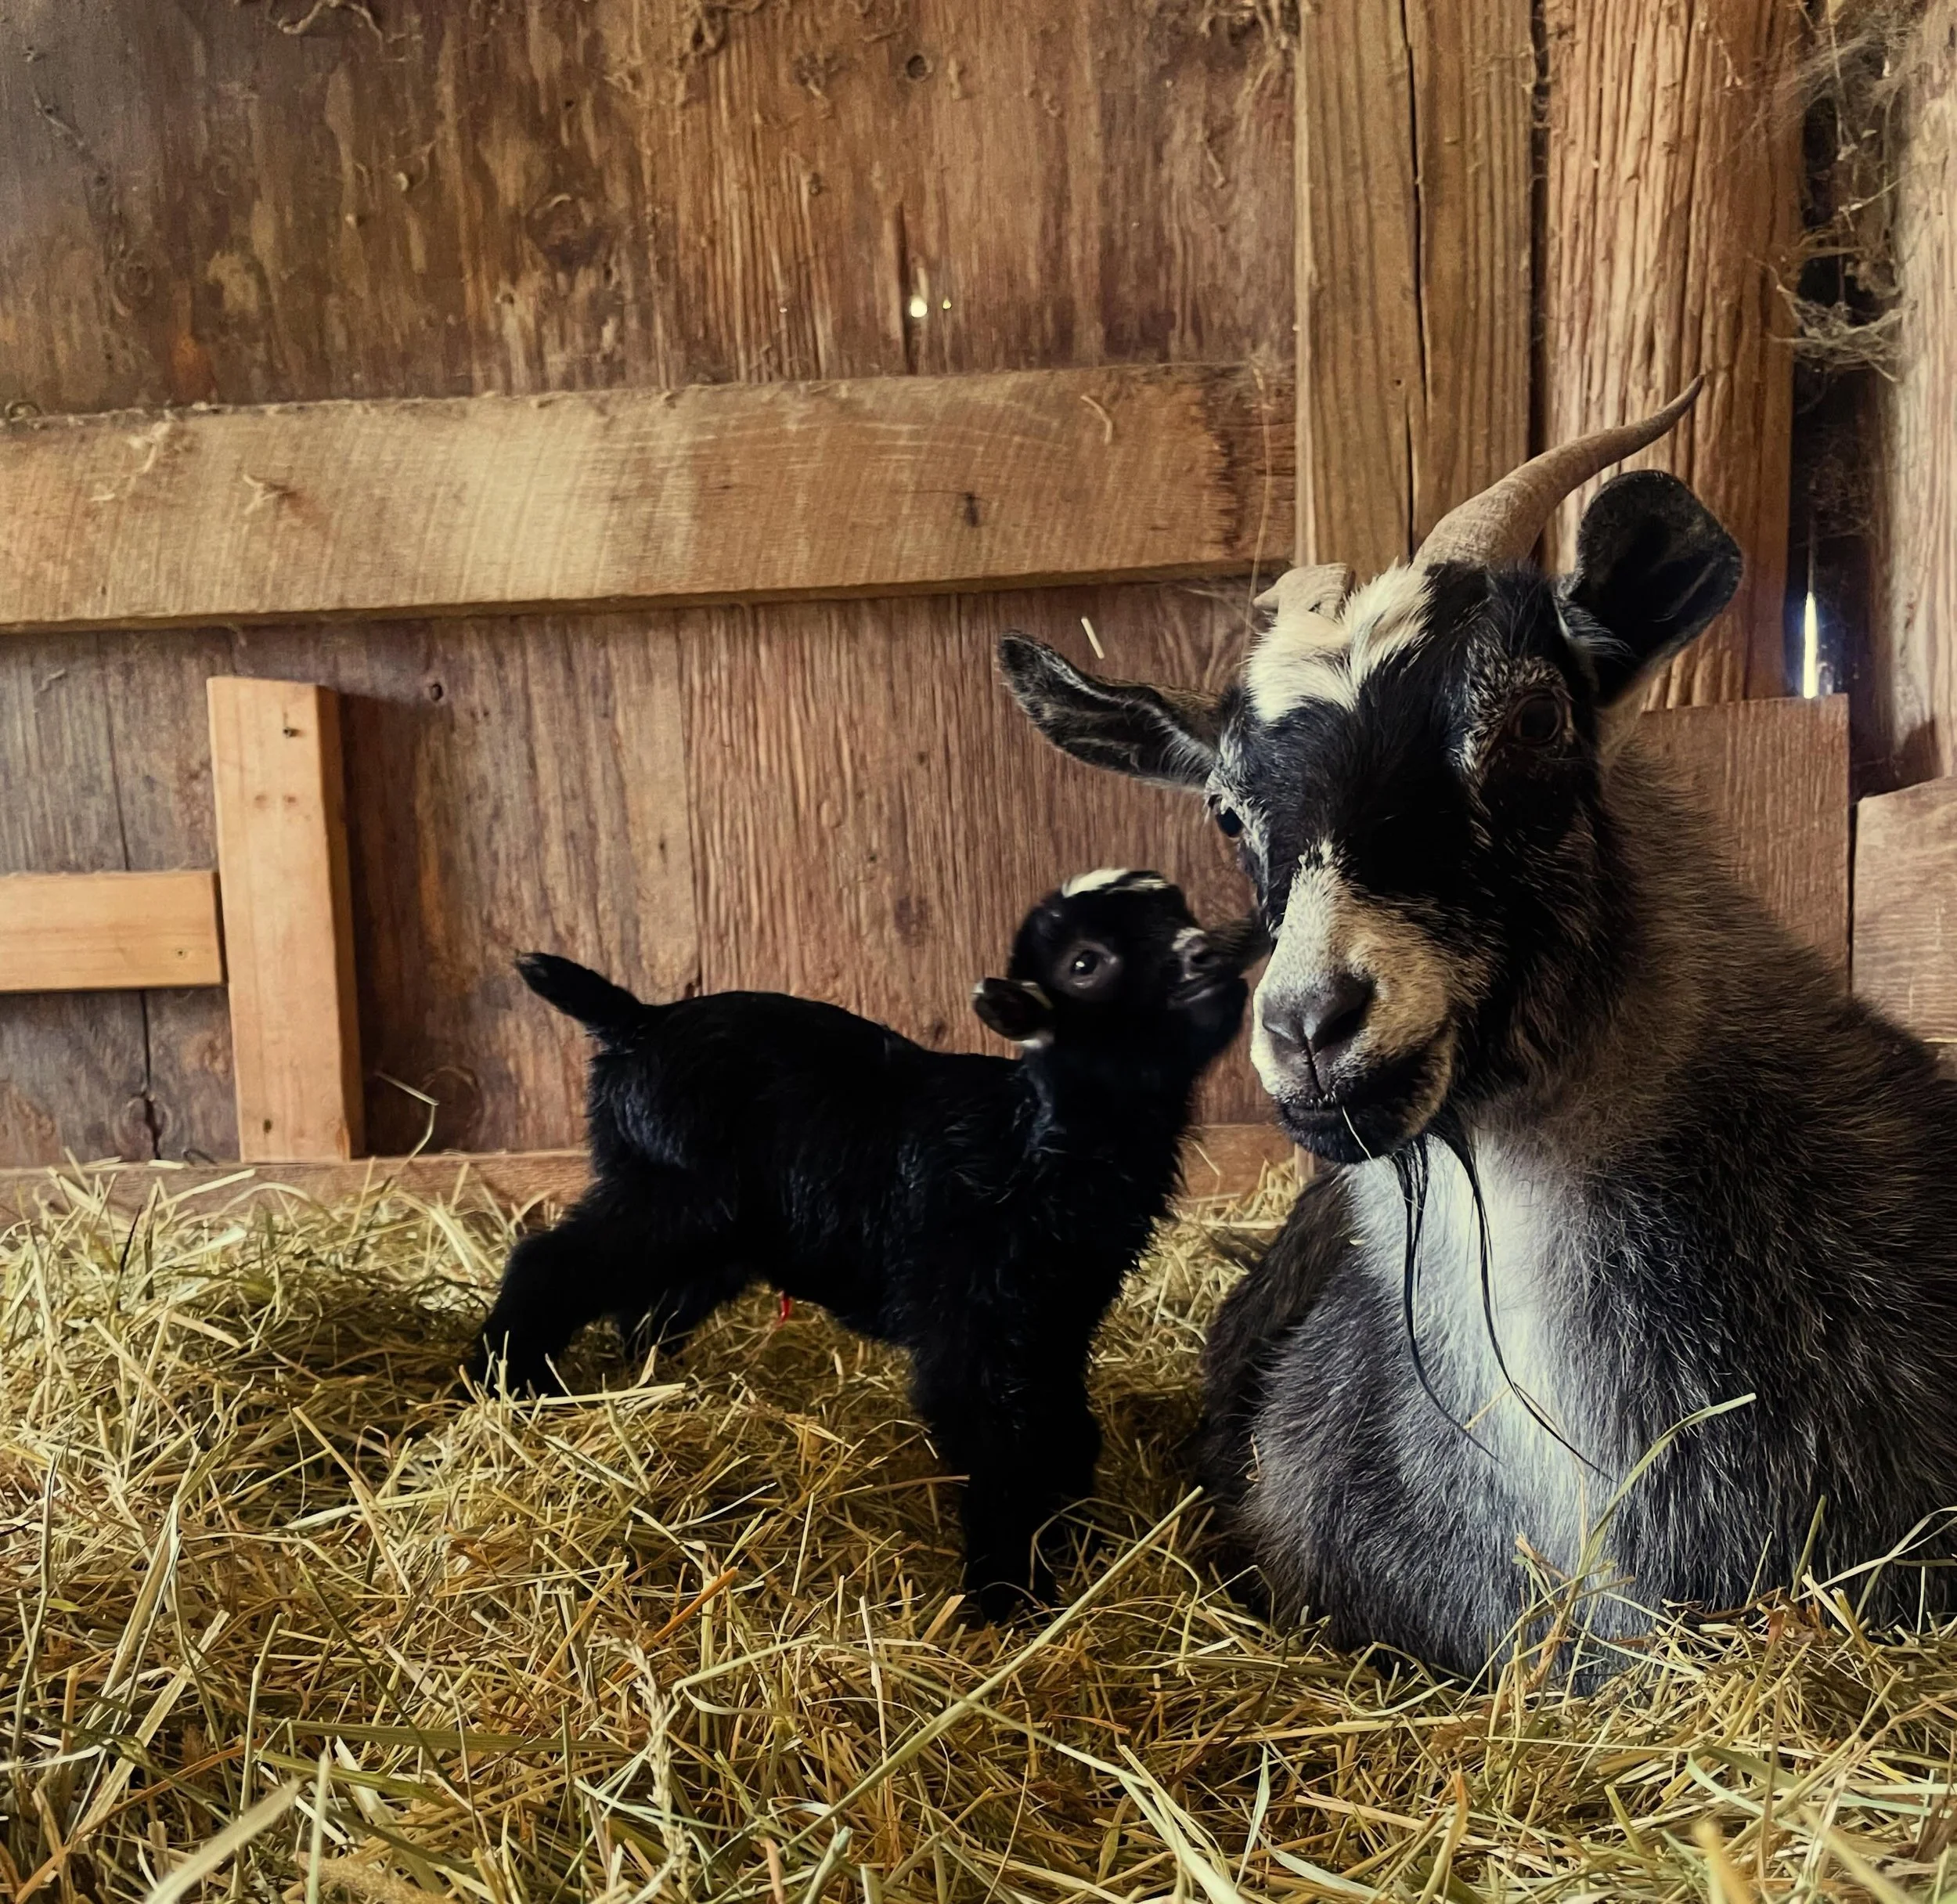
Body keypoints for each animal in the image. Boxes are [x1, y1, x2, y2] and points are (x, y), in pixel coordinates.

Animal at [470, 872, 1261, 1619]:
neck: (1033, 1140)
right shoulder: (965, 1315)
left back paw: (647, 1380)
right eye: (1086, 963)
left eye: (1179, 908)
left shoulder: (1058, 1314)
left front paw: (1073, 1534)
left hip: (709, 1229)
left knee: (644, 1303)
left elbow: (1065, 1423)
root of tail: (639, 1020)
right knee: (550, 1263)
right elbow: (998, 1441)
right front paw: (1006, 1592)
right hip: (668, 1195)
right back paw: (509, 1381)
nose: (1207, 955)